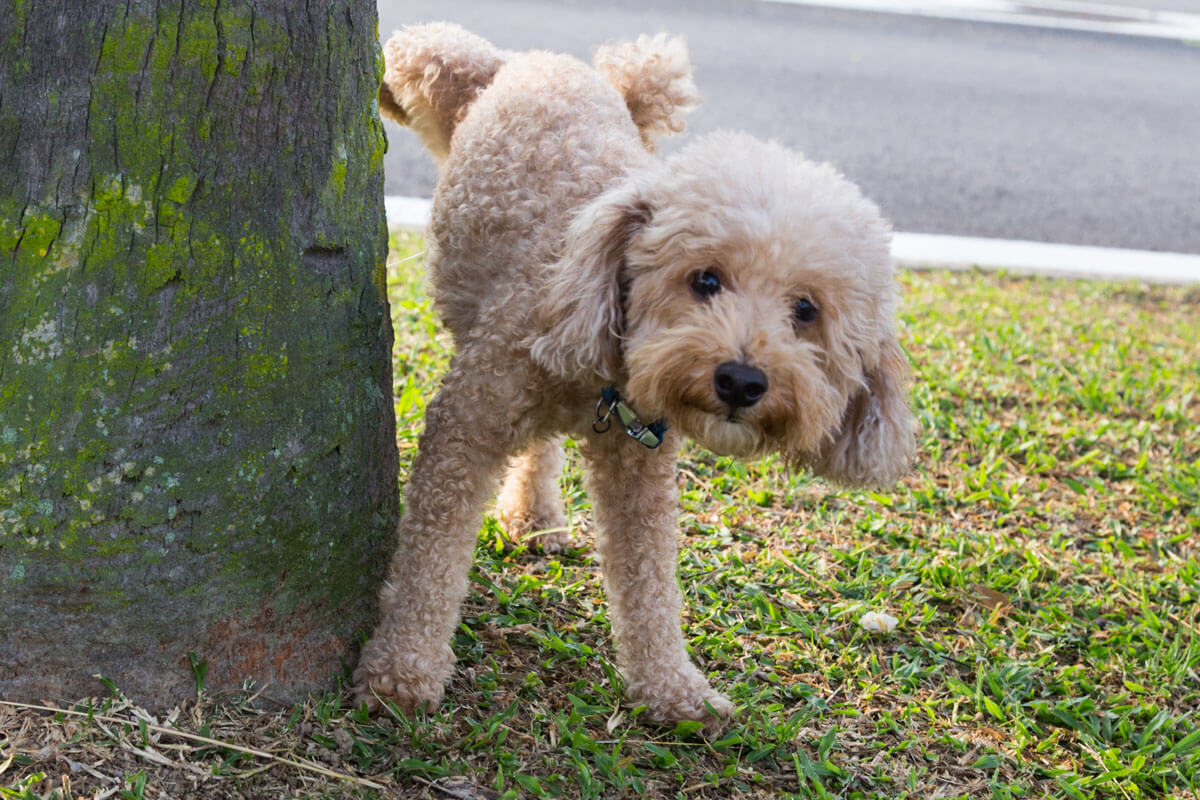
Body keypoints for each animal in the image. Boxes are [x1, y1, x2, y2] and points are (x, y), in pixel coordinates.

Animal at [350, 21, 912, 734]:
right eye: (705, 279)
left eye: (806, 311)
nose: (741, 381)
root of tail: (548, 63)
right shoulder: (467, 424)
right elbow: (430, 557)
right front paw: (403, 669)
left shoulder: (638, 465)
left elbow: (649, 581)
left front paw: (672, 688)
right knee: (427, 45)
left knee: (541, 450)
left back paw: (535, 516)